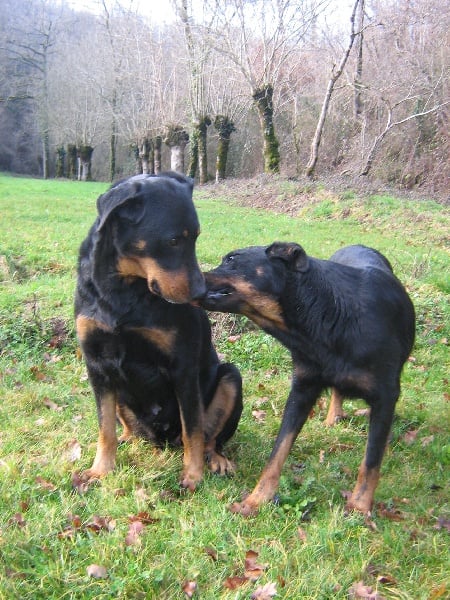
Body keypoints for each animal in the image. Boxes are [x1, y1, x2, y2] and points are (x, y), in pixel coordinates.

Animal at [74, 171, 243, 490]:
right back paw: (128, 438)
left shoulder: (183, 367)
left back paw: (217, 459)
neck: (123, 288)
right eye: (173, 240)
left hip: (230, 377)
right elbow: (104, 428)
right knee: (125, 427)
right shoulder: (97, 365)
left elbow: (193, 430)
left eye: (196, 237)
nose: (202, 294)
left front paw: (193, 475)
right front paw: (101, 470)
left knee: (210, 437)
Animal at [200, 244, 414, 516]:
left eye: (231, 259)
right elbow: (278, 451)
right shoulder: (303, 389)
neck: (328, 315)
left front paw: (359, 506)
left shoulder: (386, 397)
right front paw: (257, 499)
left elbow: (371, 461)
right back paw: (332, 418)